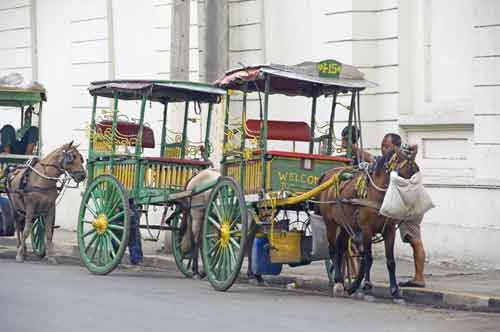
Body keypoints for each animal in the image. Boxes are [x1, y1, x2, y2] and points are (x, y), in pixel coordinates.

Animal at [318, 147, 420, 300]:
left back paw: (341, 281)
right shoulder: (366, 230)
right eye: (403, 174)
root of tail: (329, 174)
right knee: (333, 249)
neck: (378, 194)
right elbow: (368, 258)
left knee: (341, 248)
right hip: (330, 222)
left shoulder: (389, 230)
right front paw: (366, 287)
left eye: (416, 173)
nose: (411, 202)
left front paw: (394, 290)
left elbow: (390, 261)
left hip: (345, 224)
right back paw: (338, 282)